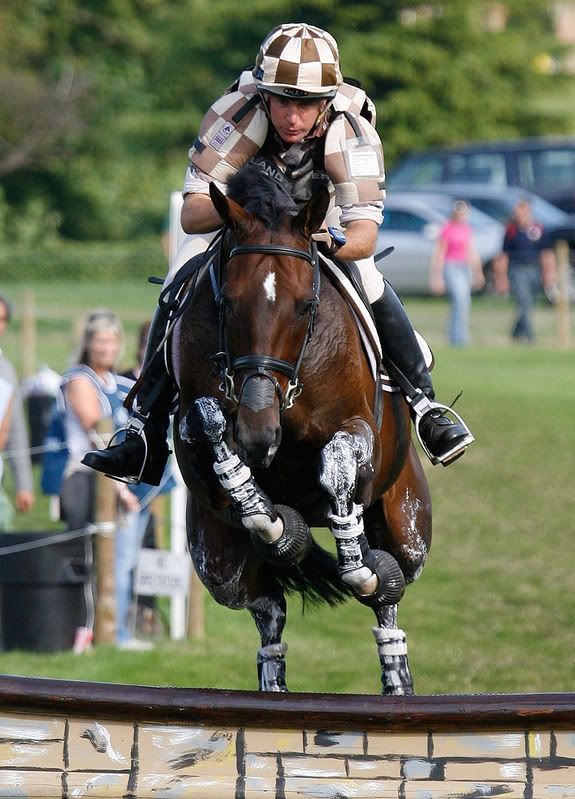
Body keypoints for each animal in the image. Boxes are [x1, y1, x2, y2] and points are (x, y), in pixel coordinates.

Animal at [172, 162, 432, 695]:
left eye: (305, 306)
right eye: (228, 303)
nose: (257, 430)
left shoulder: (358, 432)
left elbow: (338, 461)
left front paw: (354, 560)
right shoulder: (199, 429)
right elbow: (207, 423)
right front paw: (273, 520)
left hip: (409, 524)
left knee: (388, 594)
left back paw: (395, 672)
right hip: (217, 559)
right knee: (265, 604)